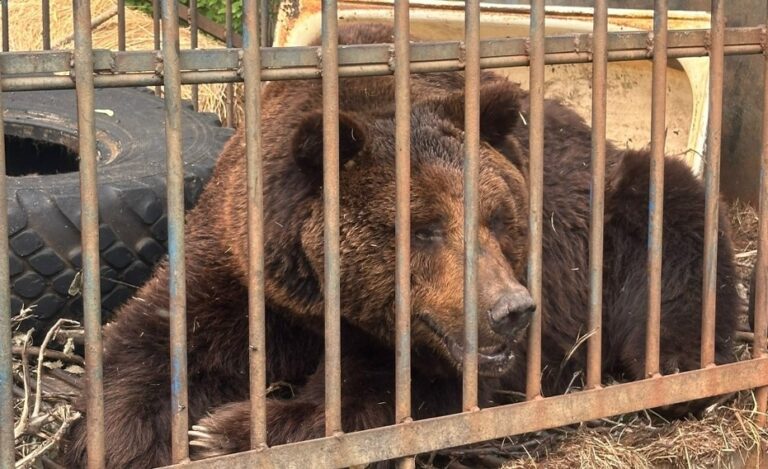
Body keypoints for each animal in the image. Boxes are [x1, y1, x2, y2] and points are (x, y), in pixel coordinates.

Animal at [63, 22, 740, 468]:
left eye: (500, 219)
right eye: (424, 227)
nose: (511, 310)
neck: (330, 303)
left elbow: (396, 399)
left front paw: (225, 430)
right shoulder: (248, 265)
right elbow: (156, 341)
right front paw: (131, 437)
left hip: (619, 208)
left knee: (676, 224)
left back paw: (675, 366)